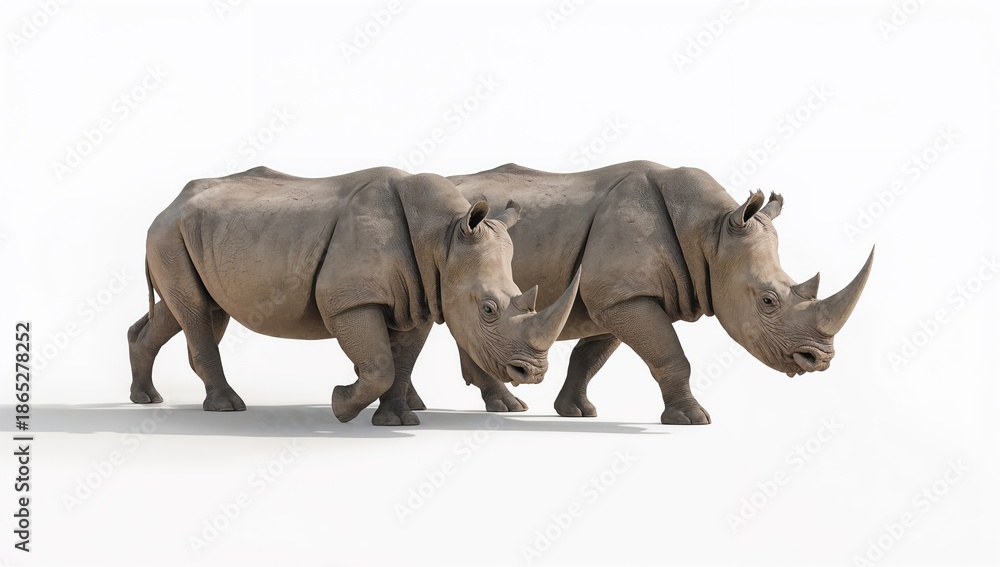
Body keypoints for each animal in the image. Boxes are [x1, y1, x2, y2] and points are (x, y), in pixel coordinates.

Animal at [126, 166, 580, 425]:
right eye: (488, 309)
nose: (532, 373)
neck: (442, 236)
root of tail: (168, 204)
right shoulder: (348, 299)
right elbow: (380, 364)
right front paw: (339, 404)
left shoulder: (422, 299)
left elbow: (402, 362)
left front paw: (397, 421)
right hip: (168, 233)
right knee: (196, 313)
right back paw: (227, 408)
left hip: (192, 235)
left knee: (195, 312)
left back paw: (146, 399)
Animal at [420, 161, 872, 425]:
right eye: (768, 301)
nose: (820, 360)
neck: (711, 231)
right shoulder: (624, 296)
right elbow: (671, 356)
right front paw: (693, 419)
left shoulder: (614, 298)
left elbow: (589, 358)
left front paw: (577, 413)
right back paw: (498, 407)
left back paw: (501, 406)